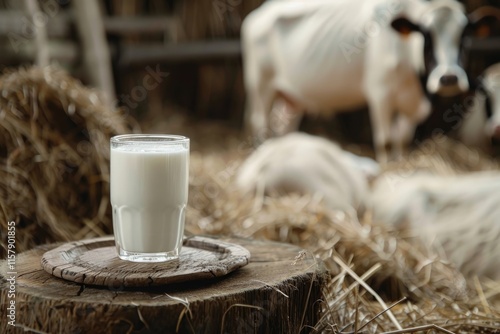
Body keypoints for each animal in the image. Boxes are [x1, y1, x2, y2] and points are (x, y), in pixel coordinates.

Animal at [241, 0, 496, 162]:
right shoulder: (380, 95)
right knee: (260, 125)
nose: (449, 77)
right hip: (261, 86)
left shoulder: (414, 105)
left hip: (292, 99)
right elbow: (385, 141)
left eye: (465, 35)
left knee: (284, 128)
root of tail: (257, 15)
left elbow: (402, 140)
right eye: (425, 35)